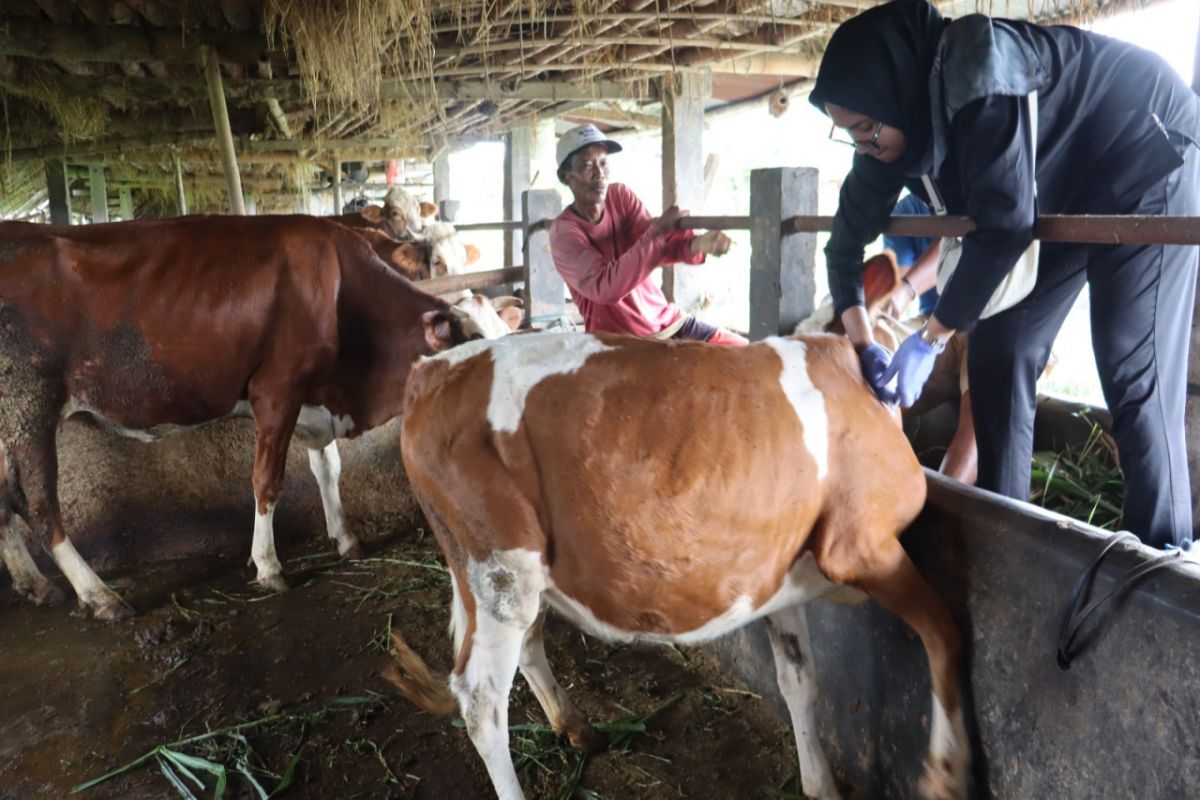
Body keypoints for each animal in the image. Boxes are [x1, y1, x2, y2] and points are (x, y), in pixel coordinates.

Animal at [0, 215, 472, 623]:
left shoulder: (313, 397)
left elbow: (328, 468)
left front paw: (346, 538)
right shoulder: (276, 388)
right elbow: (267, 482)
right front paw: (268, 566)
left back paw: (37, 585)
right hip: (29, 406)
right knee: (39, 505)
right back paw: (99, 595)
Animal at [388, 331, 969, 800]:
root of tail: (431, 370)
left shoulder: (780, 578)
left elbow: (800, 681)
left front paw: (820, 784)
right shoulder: (864, 546)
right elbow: (944, 632)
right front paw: (945, 773)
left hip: (507, 576)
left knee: (527, 644)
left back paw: (576, 726)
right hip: (501, 566)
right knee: (482, 700)